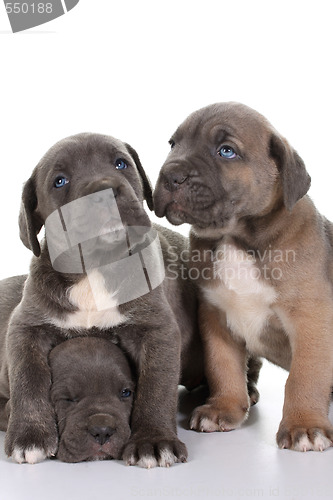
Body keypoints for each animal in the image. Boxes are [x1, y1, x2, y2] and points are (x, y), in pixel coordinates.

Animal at [1, 132, 202, 464]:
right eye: (60, 181)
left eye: (121, 163)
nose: (103, 189)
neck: (95, 266)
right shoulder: (26, 327)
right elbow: (28, 377)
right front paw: (30, 435)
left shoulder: (156, 330)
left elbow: (156, 385)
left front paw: (154, 440)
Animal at [154, 102, 332, 454]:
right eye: (173, 144)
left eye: (227, 151)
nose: (170, 175)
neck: (236, 237)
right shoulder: (215, 315)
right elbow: (223, 367)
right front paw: (225, 407)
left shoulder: (311, 320)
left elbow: (305, 377)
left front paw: (304, 425)